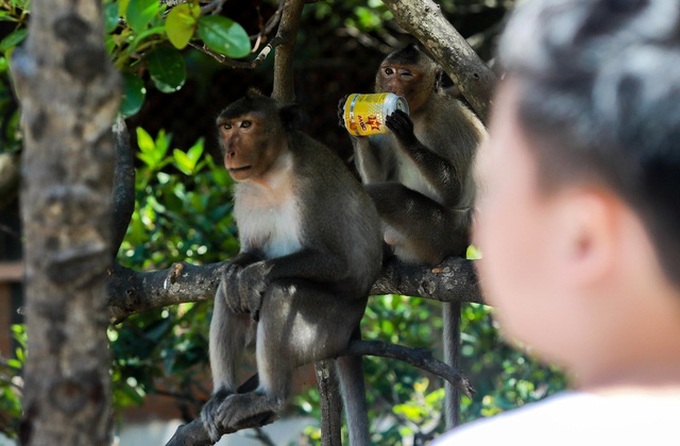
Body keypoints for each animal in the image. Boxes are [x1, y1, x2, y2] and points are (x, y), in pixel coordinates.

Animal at [200, 90, 383, 445]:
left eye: (246, 125)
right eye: (227, 127)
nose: (230, 151)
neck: (271, 176)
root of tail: (353, 326)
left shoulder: (313, 188)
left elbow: (337, 263)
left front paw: (253, 275)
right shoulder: (245, 193)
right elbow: (249, 254)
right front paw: (234, 271)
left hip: (328, 328)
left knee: (281, 293)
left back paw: (269, 397)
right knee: (227, 299)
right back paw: (222, 392)